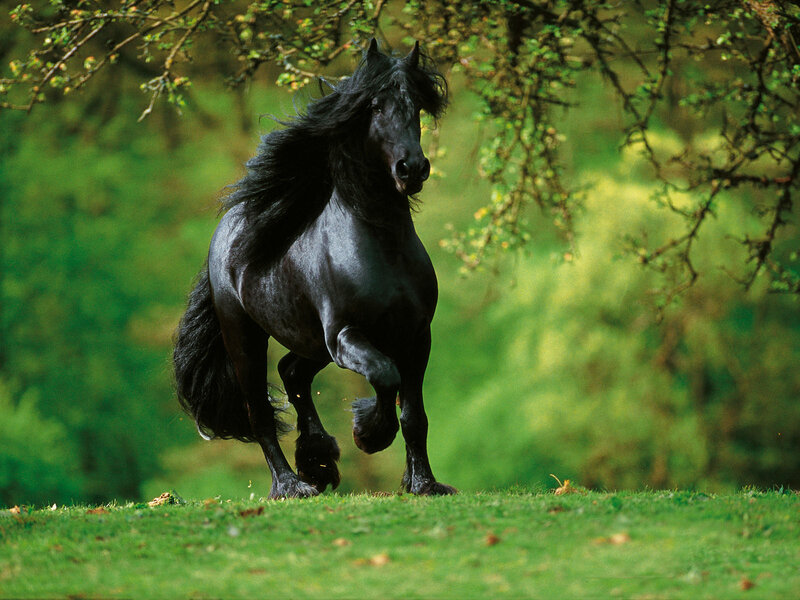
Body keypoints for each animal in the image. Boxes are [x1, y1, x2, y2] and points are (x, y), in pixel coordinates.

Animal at [173, 39, 457, 499]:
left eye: (415, 105)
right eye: (374, 106)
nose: (412, 168)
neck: (382, 248)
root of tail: (226, 231)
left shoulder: (416, 336)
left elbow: (414, 414)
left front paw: (424, 484)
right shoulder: (345, 335)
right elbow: (385, 376)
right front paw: (368, 434)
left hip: (310, 343)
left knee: (292, 373)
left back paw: (318, 459)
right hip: (246, 338)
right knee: (259, 413)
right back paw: (291, 485)